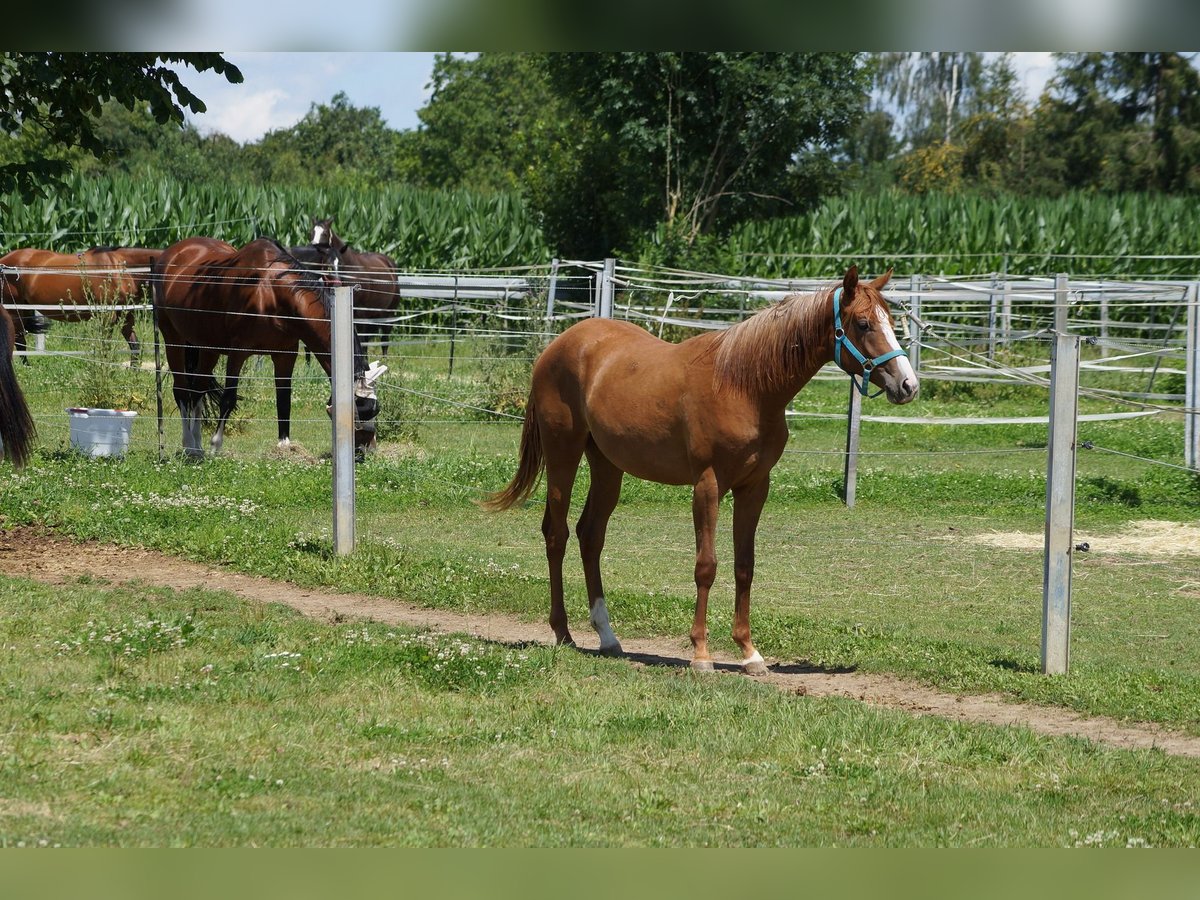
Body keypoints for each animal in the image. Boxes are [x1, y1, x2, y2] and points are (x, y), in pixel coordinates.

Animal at [0, 247, 157, 362]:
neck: (117, 267)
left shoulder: (125, 314)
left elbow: (134, 345)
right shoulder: (107, 315)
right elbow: (105, 347)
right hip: (14, 309)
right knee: (19, 340)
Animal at [153, 237, 379, 458]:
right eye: (362, 412)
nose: (365, 450)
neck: (270, 291)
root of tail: (171, 253)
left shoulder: (286, 355)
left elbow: (284, 399)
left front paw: (284, 445)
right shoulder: (238, 354)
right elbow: (228, 399)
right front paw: (215, 445)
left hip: (208, 347)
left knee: (198, 390)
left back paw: (197, 447)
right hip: (173, 339)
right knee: (182, 391)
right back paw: (189, 445)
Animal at [482, 267, 912, 676]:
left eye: (891, 320)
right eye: (863, 324)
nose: (907, 385)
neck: (744, 386)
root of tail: (558, 345)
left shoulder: (754, 487)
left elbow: (744, 566)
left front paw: (749, 653)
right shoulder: (708, 485)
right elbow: (706, 566)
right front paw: (701, 654)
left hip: (607, 466)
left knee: (591, 536)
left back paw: (607, 636)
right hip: (563, 454)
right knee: (557, 535)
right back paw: (563, 633)